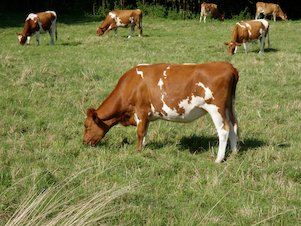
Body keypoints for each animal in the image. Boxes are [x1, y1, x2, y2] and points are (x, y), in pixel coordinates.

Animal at [83, 61, 238, 162]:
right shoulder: (146, 116)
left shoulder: (141, 111)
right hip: (229, 107)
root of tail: (227, 65)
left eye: (87, 126)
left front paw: (138, 151)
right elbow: (145, 132)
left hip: (216, 108)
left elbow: (140, 133)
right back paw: (234, 152)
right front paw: (145, 146)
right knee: (234, 126)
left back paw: (218, 159)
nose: (84, 142)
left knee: (224, 130)